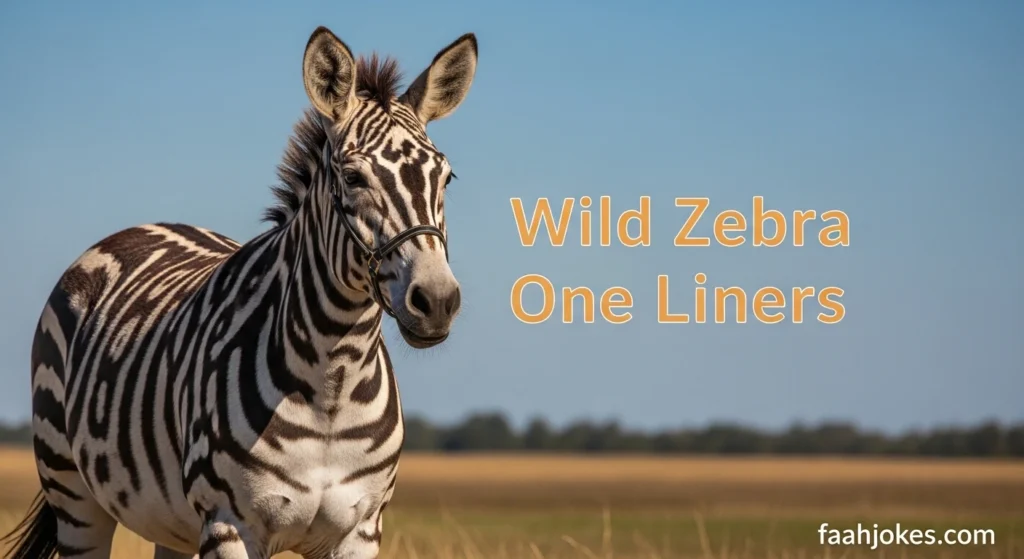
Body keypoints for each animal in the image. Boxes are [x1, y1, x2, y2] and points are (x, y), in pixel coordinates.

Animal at [2, 25, 477, 559]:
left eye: (445, 177)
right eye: (353, 178)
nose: (437, 301)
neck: (333, 383)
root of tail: (143, 226)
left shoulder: (361, 530)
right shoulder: (230, 523)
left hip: (170, 522)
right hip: (74, 495)